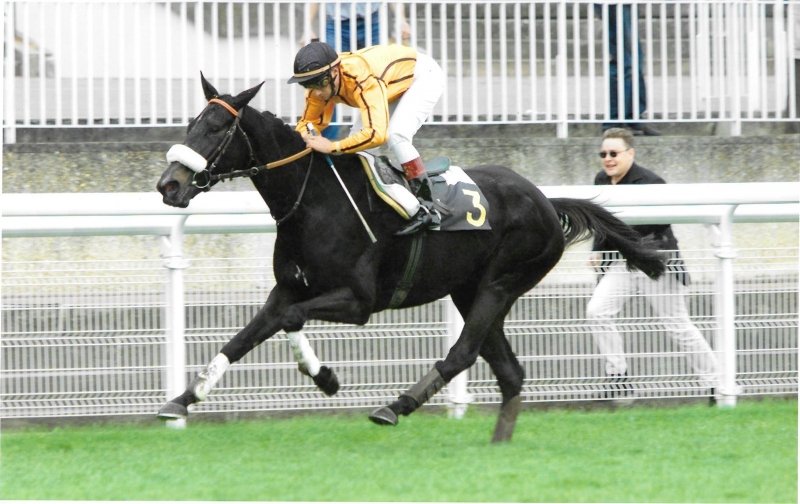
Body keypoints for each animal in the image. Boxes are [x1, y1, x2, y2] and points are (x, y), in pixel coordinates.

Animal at [156, 74, 665, 442]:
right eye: (190, 123)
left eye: (216, 129)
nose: (168, 185)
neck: (313, 201)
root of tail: (545, 200)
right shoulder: (287, 288)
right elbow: (246, 336)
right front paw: (183, 398)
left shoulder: (358, 301)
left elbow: (292, 319)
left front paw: (325, 378)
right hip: (469, 290)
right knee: (510, 372)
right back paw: (499, 442)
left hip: (501, 282)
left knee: (463, 352)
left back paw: (395, 407)